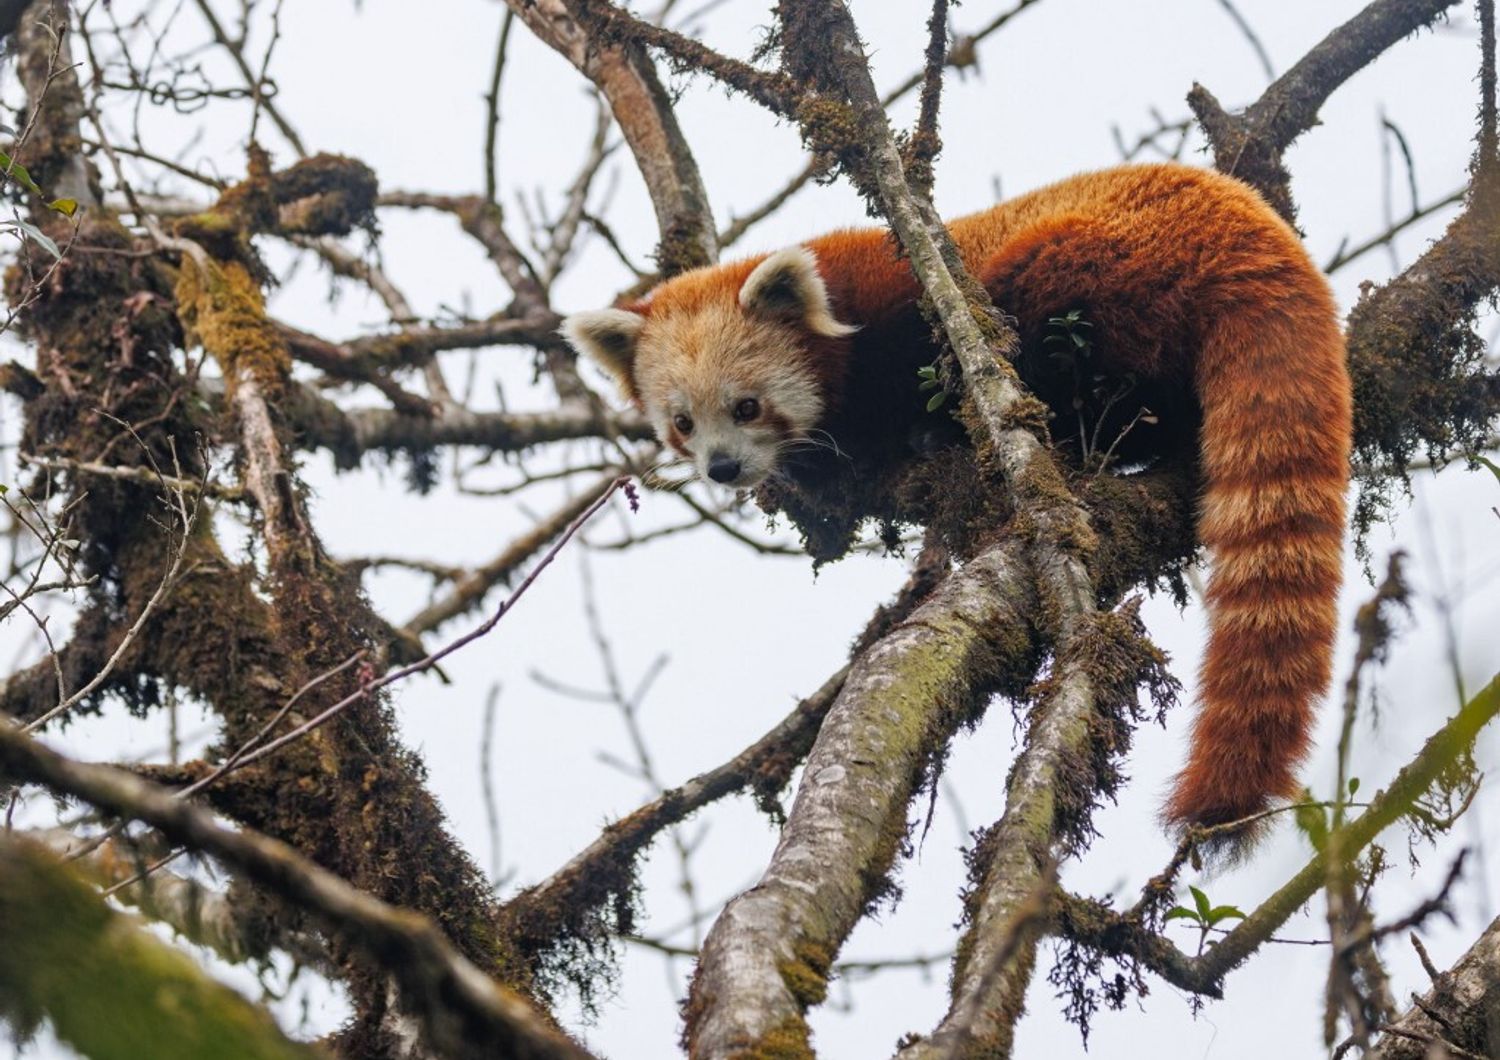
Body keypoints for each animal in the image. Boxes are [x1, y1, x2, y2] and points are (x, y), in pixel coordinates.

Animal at [564, 163, 1362, 839]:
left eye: (748, 406)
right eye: (682, 423)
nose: (724, 468)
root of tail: (1254, 236)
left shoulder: (905, 314)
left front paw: (868, 455)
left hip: (1094, 270)